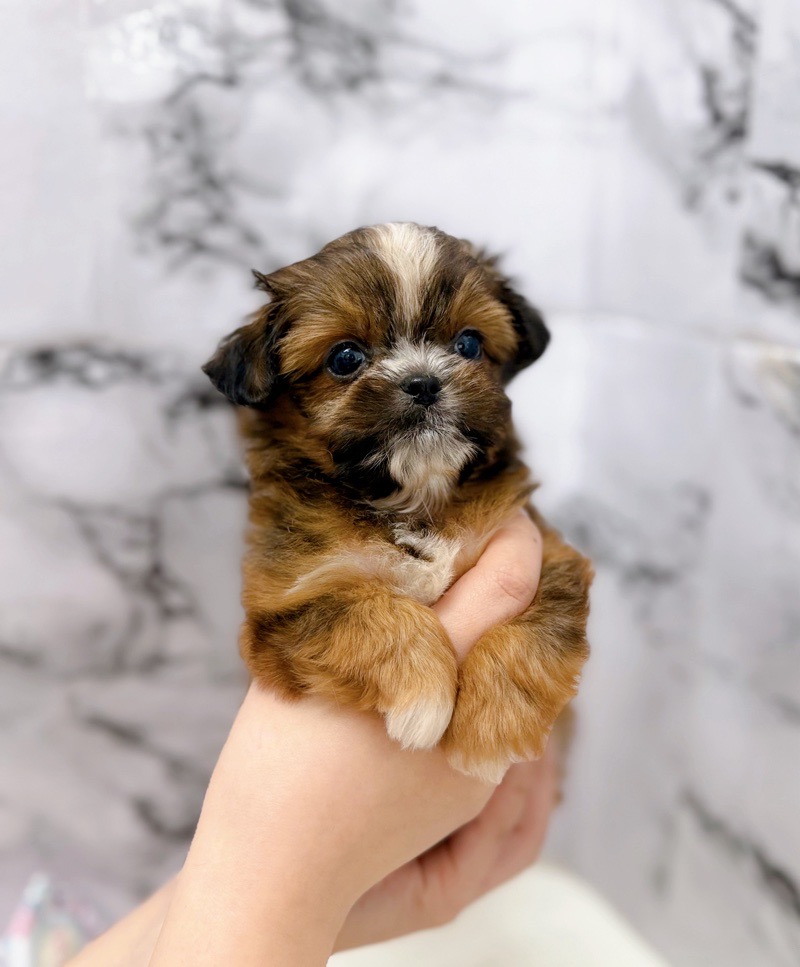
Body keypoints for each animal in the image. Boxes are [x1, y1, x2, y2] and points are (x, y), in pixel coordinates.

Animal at [203, 222, 592, 782]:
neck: (412, 499)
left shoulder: (544, 553)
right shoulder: (289, 599)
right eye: (345, 358)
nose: (423, 382)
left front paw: (493, 729)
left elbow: (533, 630)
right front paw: (424, 698)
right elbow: (367, 610)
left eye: (468, 343)